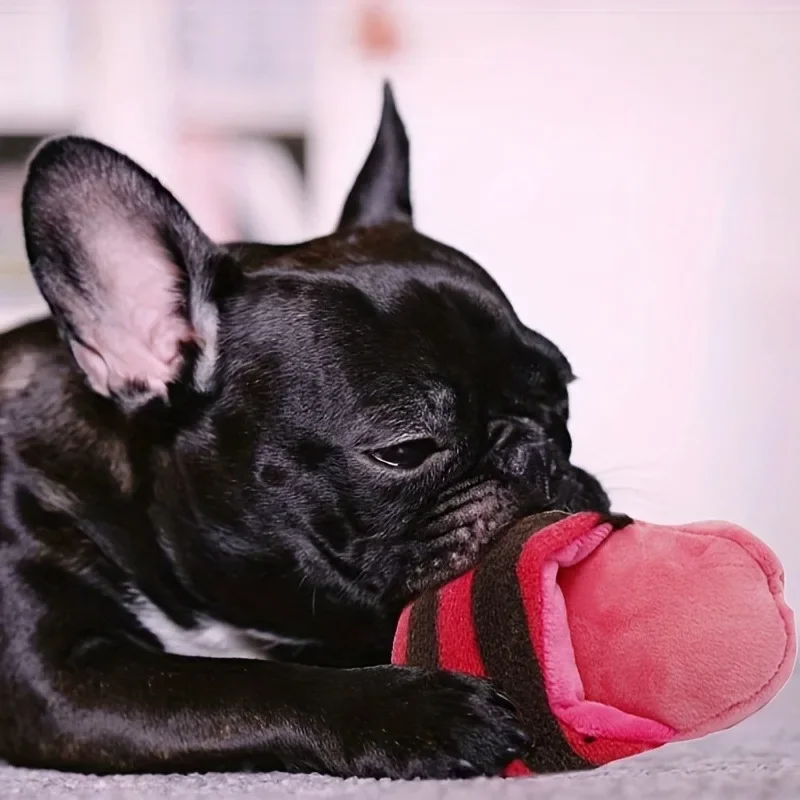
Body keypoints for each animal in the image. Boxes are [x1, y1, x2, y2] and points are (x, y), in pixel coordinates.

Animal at [0, 84, 612, 780]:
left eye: (562, 394)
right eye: (405, 449)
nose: (534, 450)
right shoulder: (56, 679)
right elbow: (236, 682)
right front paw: (416, 710)